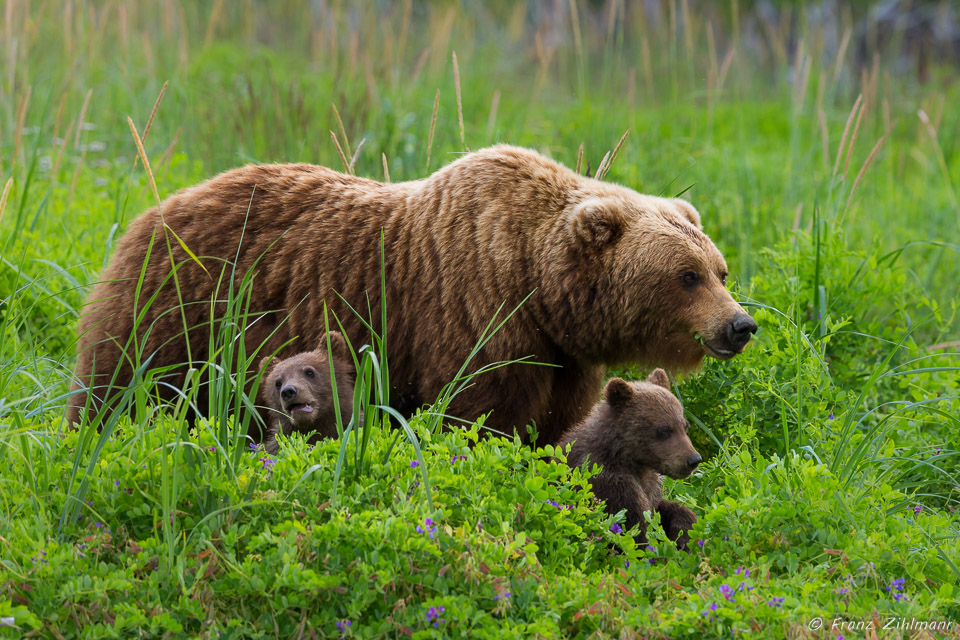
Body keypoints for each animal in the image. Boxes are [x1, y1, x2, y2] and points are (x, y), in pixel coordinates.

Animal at [69, 145, 756, 444]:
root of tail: (156, 208)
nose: (740, 325)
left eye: (720, 269)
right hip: (180, 310)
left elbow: (556, 425)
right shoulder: (473, 314)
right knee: (123, 387)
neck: (537, 284)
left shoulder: (560, 355)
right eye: (686, 275)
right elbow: (479, 415)